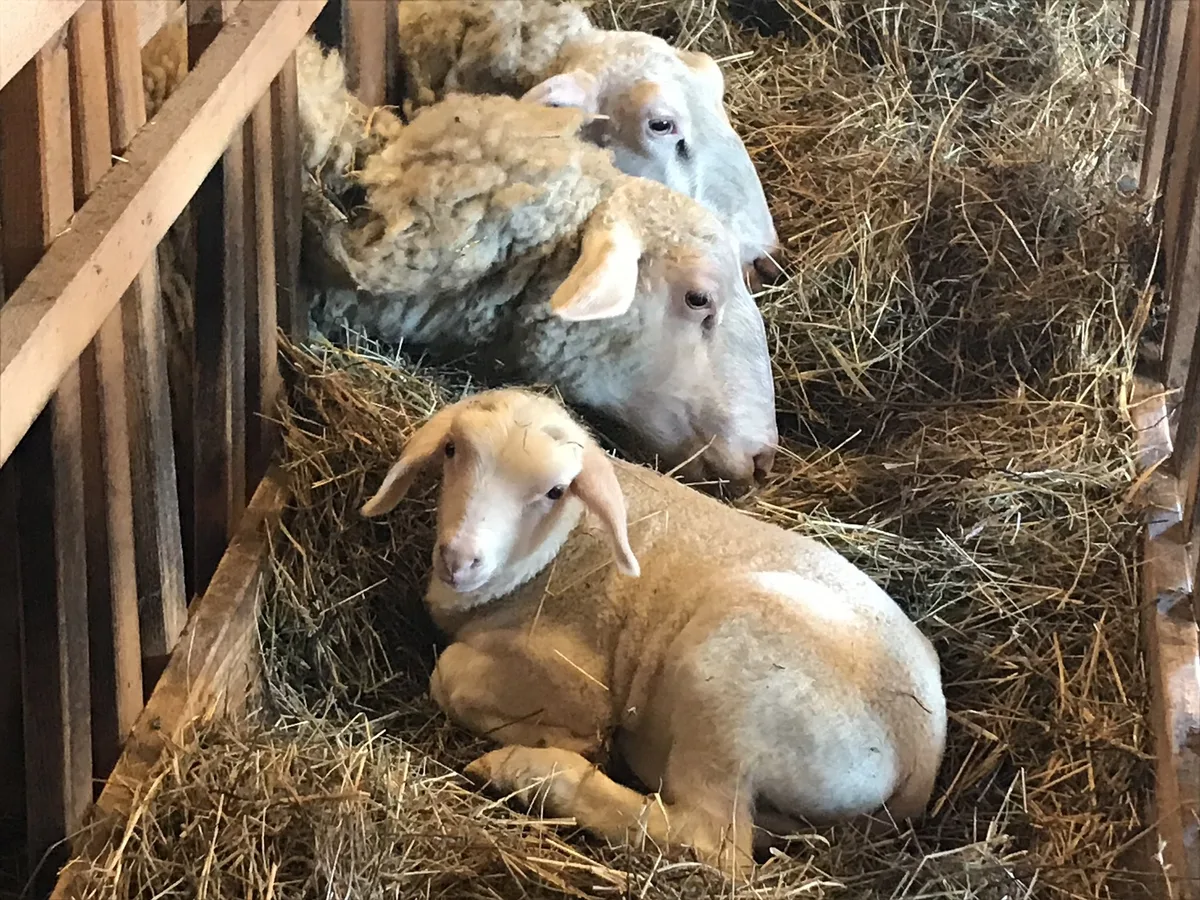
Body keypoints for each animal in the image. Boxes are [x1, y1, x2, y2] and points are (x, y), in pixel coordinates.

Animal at [359, 388, 948, 876]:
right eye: (452, 450)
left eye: (554, 490)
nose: (459, 559)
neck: (560, 547)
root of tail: (920, 762)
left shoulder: (577, 679)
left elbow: (449, 675)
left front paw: (559, 739)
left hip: (734, 684)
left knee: (713, 844)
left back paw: (530, 773)